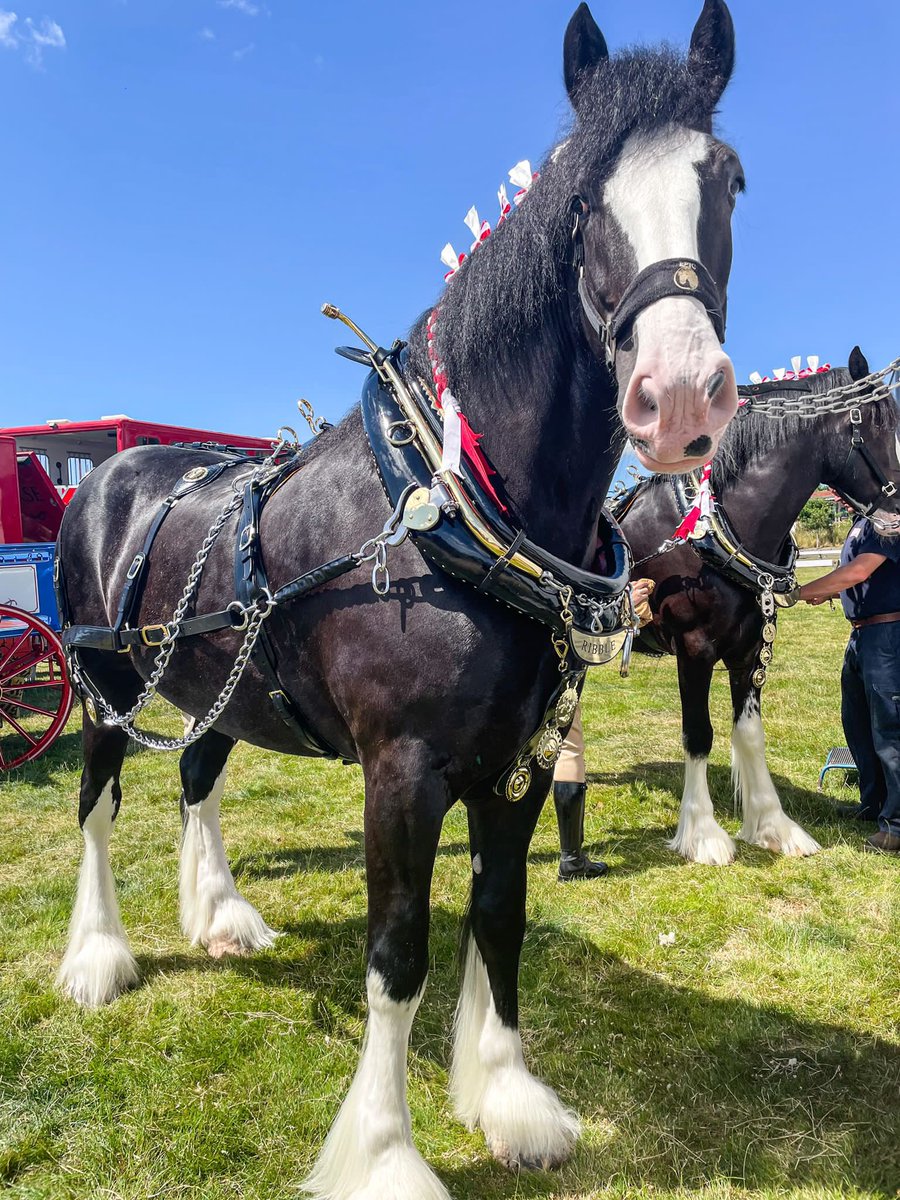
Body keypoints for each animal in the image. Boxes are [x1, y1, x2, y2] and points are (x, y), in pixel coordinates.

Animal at [56, 4, 744, 1196]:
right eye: (581, 201)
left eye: (731, 180)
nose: (684, 399)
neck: (462, 509)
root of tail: (107, 474)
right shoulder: (405, 771)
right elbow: (398, 952)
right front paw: (384, 1151)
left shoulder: (520, 762)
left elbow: (500, 917)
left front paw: (510, 1100)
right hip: (105, 689)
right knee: (99, 807)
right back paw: (99, 957)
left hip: (213, 687)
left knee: (196, 779)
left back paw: (220, 915)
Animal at [614, 349, 900, 866]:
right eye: (875, 422)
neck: (716, 530)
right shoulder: (694, 649)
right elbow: (699, 733)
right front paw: (703, 834)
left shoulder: (750, 648)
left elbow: (748, 733)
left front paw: (772, 826)